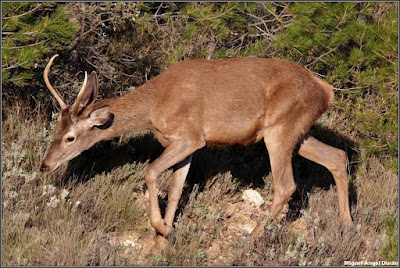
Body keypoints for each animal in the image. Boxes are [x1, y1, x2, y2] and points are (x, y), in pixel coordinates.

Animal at [40, 54, 352, 251]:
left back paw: (251, 237)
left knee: (286, 185)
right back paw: (347, 226)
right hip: (298, 132)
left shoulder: (191, 137)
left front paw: (164, 230)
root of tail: (326, 90)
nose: (44, 165)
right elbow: (176, 189)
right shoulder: (183, 144)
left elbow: (151, 172)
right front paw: (160, 243)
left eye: (70, 137)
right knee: (337, 157)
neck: (154, 107)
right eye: (55, 130)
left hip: (280, 129)